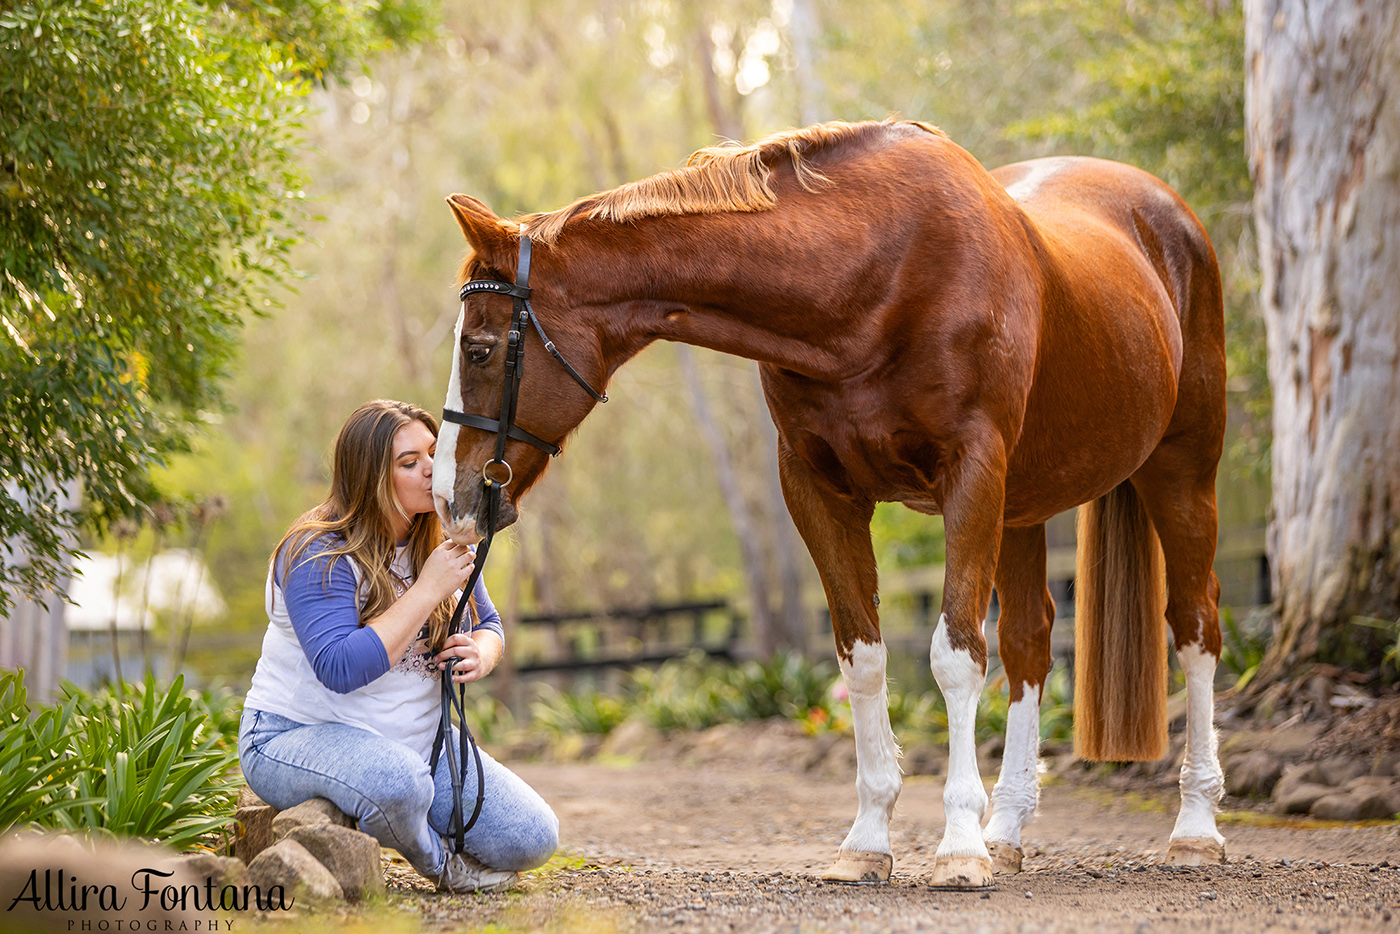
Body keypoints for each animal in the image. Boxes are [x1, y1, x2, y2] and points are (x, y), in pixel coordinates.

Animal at [428, 120, 1226, 890]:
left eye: (480, 348)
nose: (448, 496)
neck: (873, 276)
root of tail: (1167, 212)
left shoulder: (971, 476)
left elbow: (953, 657)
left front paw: (957, 849)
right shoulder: (819, 492)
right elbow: (861, 659)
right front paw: (868, 843)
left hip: (1180, 474)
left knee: (1194, 629)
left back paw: (1193, 831)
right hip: (1022, 507)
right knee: (1030, 642)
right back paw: (1007, 832)